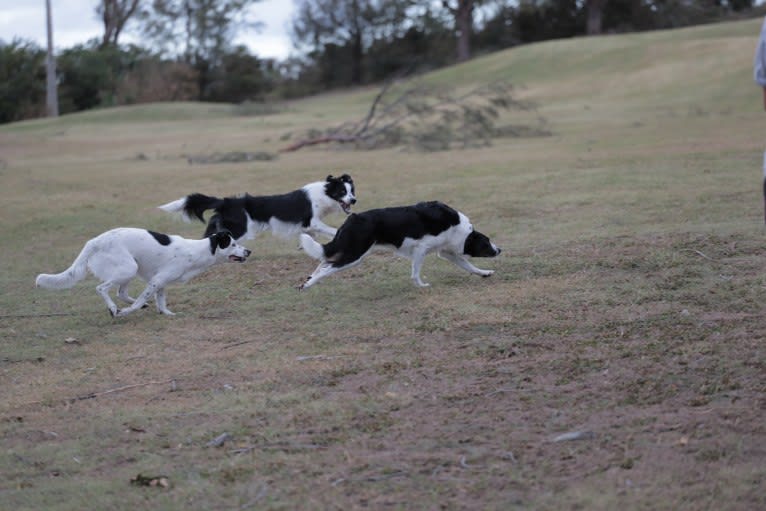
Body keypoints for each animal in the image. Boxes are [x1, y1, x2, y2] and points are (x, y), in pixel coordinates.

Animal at [36, 228, 252, 316]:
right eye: (233, 244)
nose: (249, 251)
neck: (198, 251)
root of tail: (95, 241)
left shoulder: (160, 282)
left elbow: (160, 301)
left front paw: (166, 313)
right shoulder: (157, 280)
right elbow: (141, 299)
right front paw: (126, 312)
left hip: (129, 270)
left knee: (121, 292)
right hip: (128, 268)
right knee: (101, 289)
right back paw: (114, 309)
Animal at [158, 174, 360, 242]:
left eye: (352, 191)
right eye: (342, 191)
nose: (354, 200)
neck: (325, 192)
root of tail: (226, 201)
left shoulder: (309, 226)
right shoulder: (312, 221)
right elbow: (330, 229)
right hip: (240, 227)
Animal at [300, 203, 504, 292]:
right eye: (486, 242)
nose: (499, 250)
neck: (459, 229)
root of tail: (352, 219)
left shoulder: (447, 253)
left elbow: (469, 266)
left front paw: (485, 273)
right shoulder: (421, 249)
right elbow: (415, 273)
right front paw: (421, 286)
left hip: (350, 252)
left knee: (324, 261)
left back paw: (307, 281)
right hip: (355, 255)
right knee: (326, 268)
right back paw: (308, 285)